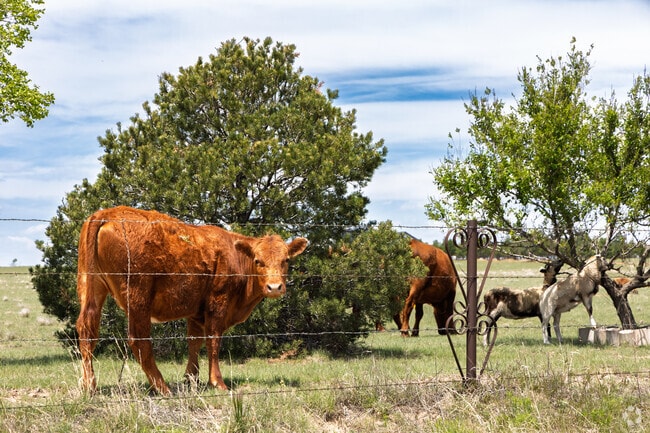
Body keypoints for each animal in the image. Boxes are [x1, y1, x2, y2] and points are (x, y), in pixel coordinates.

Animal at [76, 206, 308, 395]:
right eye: (258, 261)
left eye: (286, 260)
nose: (275, 287)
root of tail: (107, 212)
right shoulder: (218, 302)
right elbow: (213, 340)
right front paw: (217, 382)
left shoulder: (195, 311)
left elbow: (194, 342)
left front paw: (191, 379)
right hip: (138, 296)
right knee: (139, 340)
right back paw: (163, 388)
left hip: (92, 288)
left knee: (87, 331)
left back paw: (90, 386)